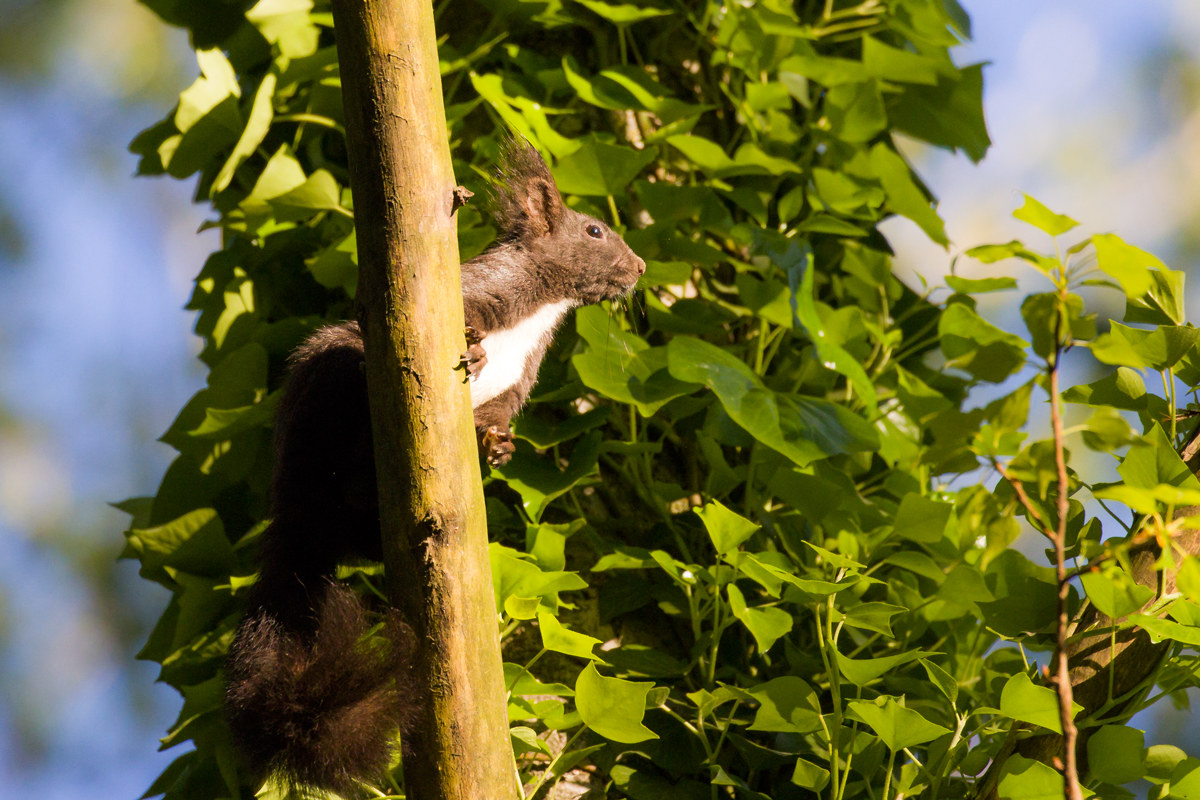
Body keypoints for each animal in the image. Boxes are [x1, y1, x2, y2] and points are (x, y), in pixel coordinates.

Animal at [224, 138, 645, 796]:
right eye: (595, 230)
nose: (642, 268)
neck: (543, 306)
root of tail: (297, 517)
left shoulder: (518, 385)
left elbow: (497, 416)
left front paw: (496, 448)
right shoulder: (476, 291)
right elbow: (460, 317)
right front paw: (472, 347)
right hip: (325, 394)